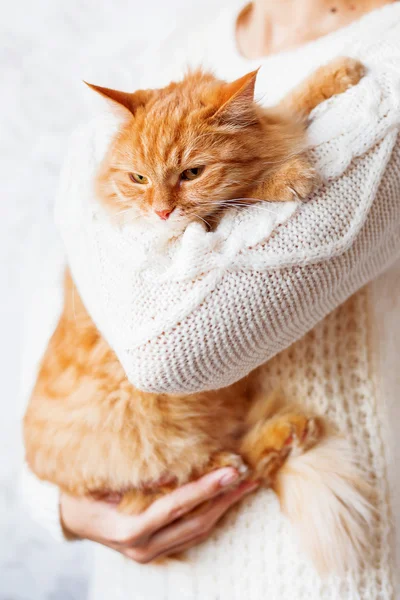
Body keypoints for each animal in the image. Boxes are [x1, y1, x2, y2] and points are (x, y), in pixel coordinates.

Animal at [23, 58, 372, 576]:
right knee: (223, 472)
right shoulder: (186, 238)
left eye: (192, 172)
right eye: (138, 179)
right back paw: (268, 442)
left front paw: (334, 74)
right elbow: (242, 196)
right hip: (160, 451)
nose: (161, 211)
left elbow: (287, 108)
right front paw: (286, 175)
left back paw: (288, 431)